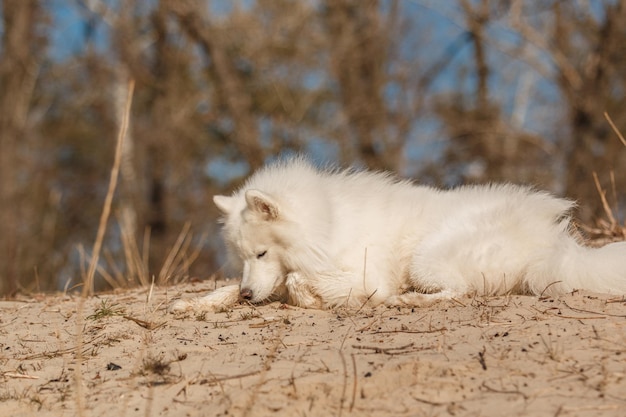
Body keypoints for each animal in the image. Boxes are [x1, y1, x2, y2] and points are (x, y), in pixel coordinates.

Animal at [171, 157, 624, 312]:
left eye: (262, 253)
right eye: (245, 257)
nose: (250, 297)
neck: (327, 223)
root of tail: (556, 243)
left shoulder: (366, 276)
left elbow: (298, 281)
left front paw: (313, 299)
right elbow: (231, 288)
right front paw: (195, 303)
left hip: (427, 259)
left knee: (460, 291)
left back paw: (409, 300)